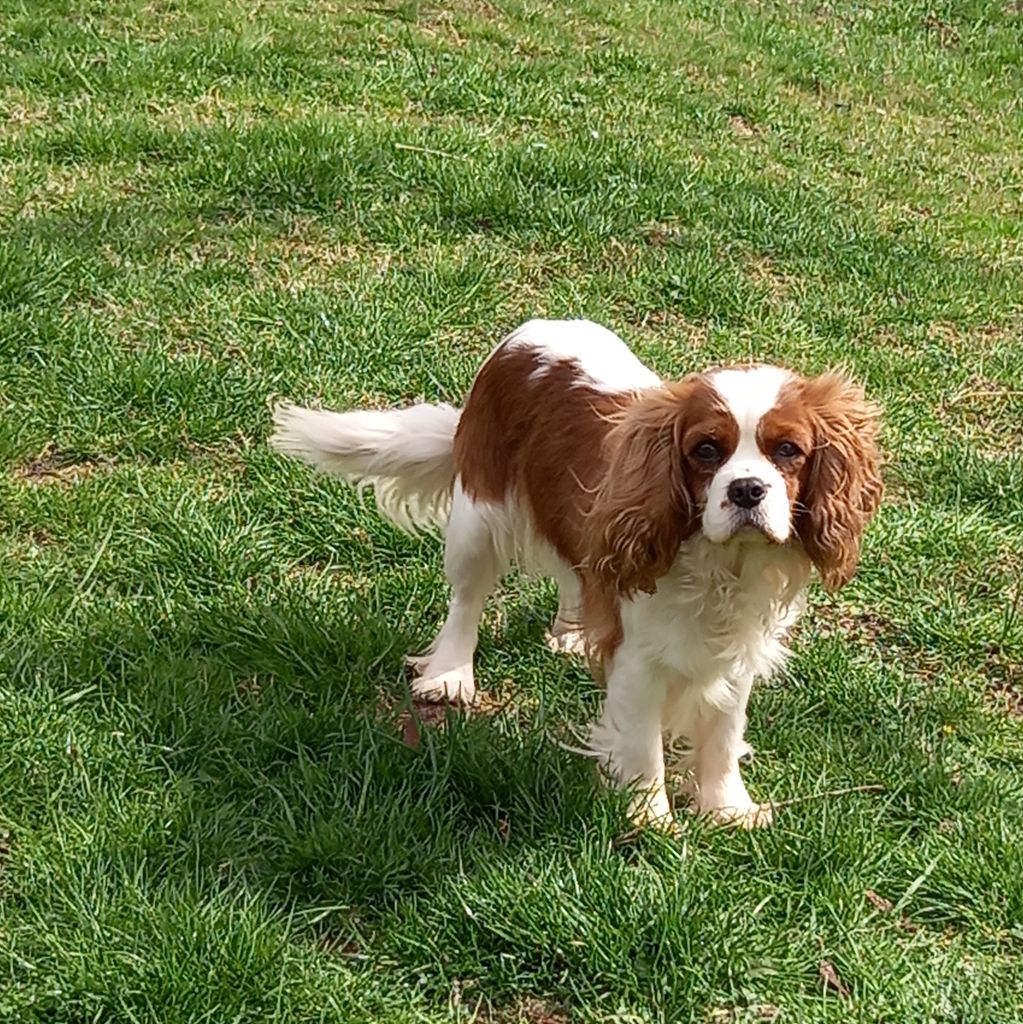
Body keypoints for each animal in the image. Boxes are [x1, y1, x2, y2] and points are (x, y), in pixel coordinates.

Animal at [270, 319, 880, 831]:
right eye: (706, 450)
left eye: (789, 450)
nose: (748, 489)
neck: (721, 567)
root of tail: (527, 331)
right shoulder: (637, 657)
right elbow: (642, 743)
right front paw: (651, 819)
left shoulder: (737, 654)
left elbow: (724, 734)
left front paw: (728, 810)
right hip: (477, 518)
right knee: (466, 600)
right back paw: (450, 675)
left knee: (573, 574)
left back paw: (569, 633)